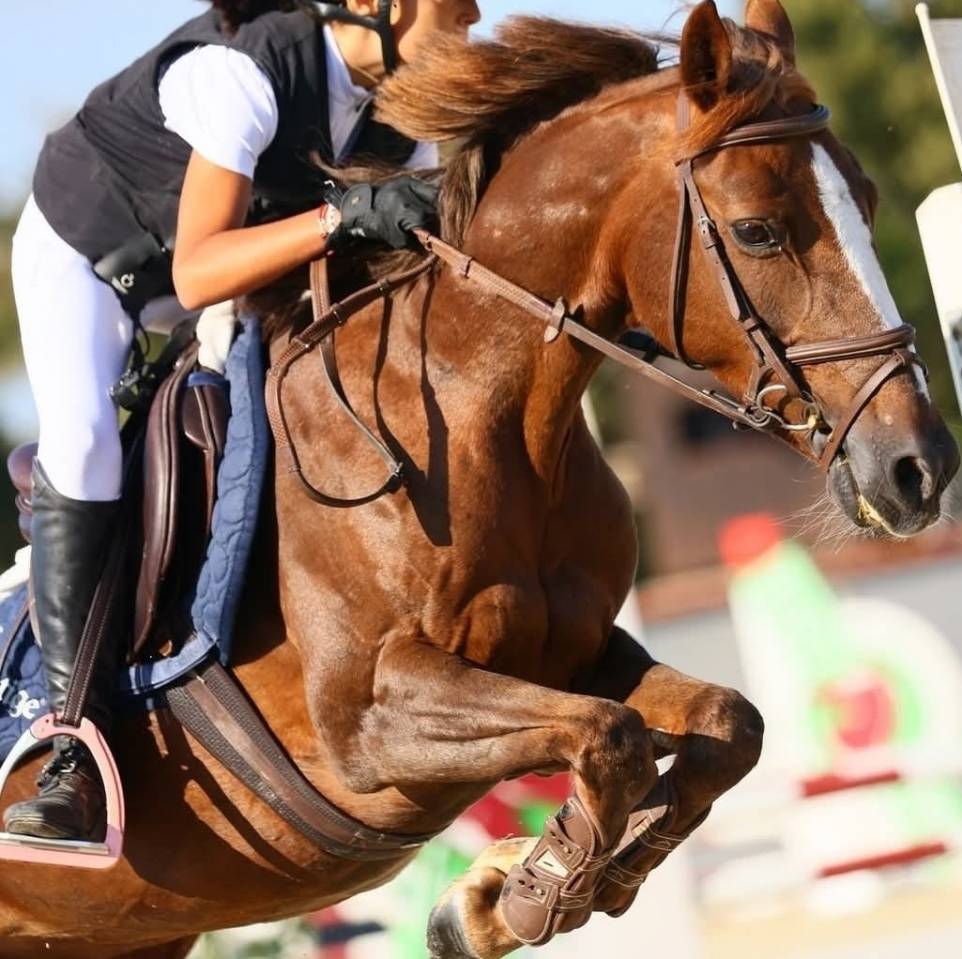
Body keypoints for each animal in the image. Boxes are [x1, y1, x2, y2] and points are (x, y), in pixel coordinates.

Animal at [0, 1, 956, 956]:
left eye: (869, 203)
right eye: (759, 229)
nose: (919, 466)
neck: (473, 414)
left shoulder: (579, 653)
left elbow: (726, 723)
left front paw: (507, 891)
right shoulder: (368, 719)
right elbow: (610, 737)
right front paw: (520, 891)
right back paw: (62, 792)